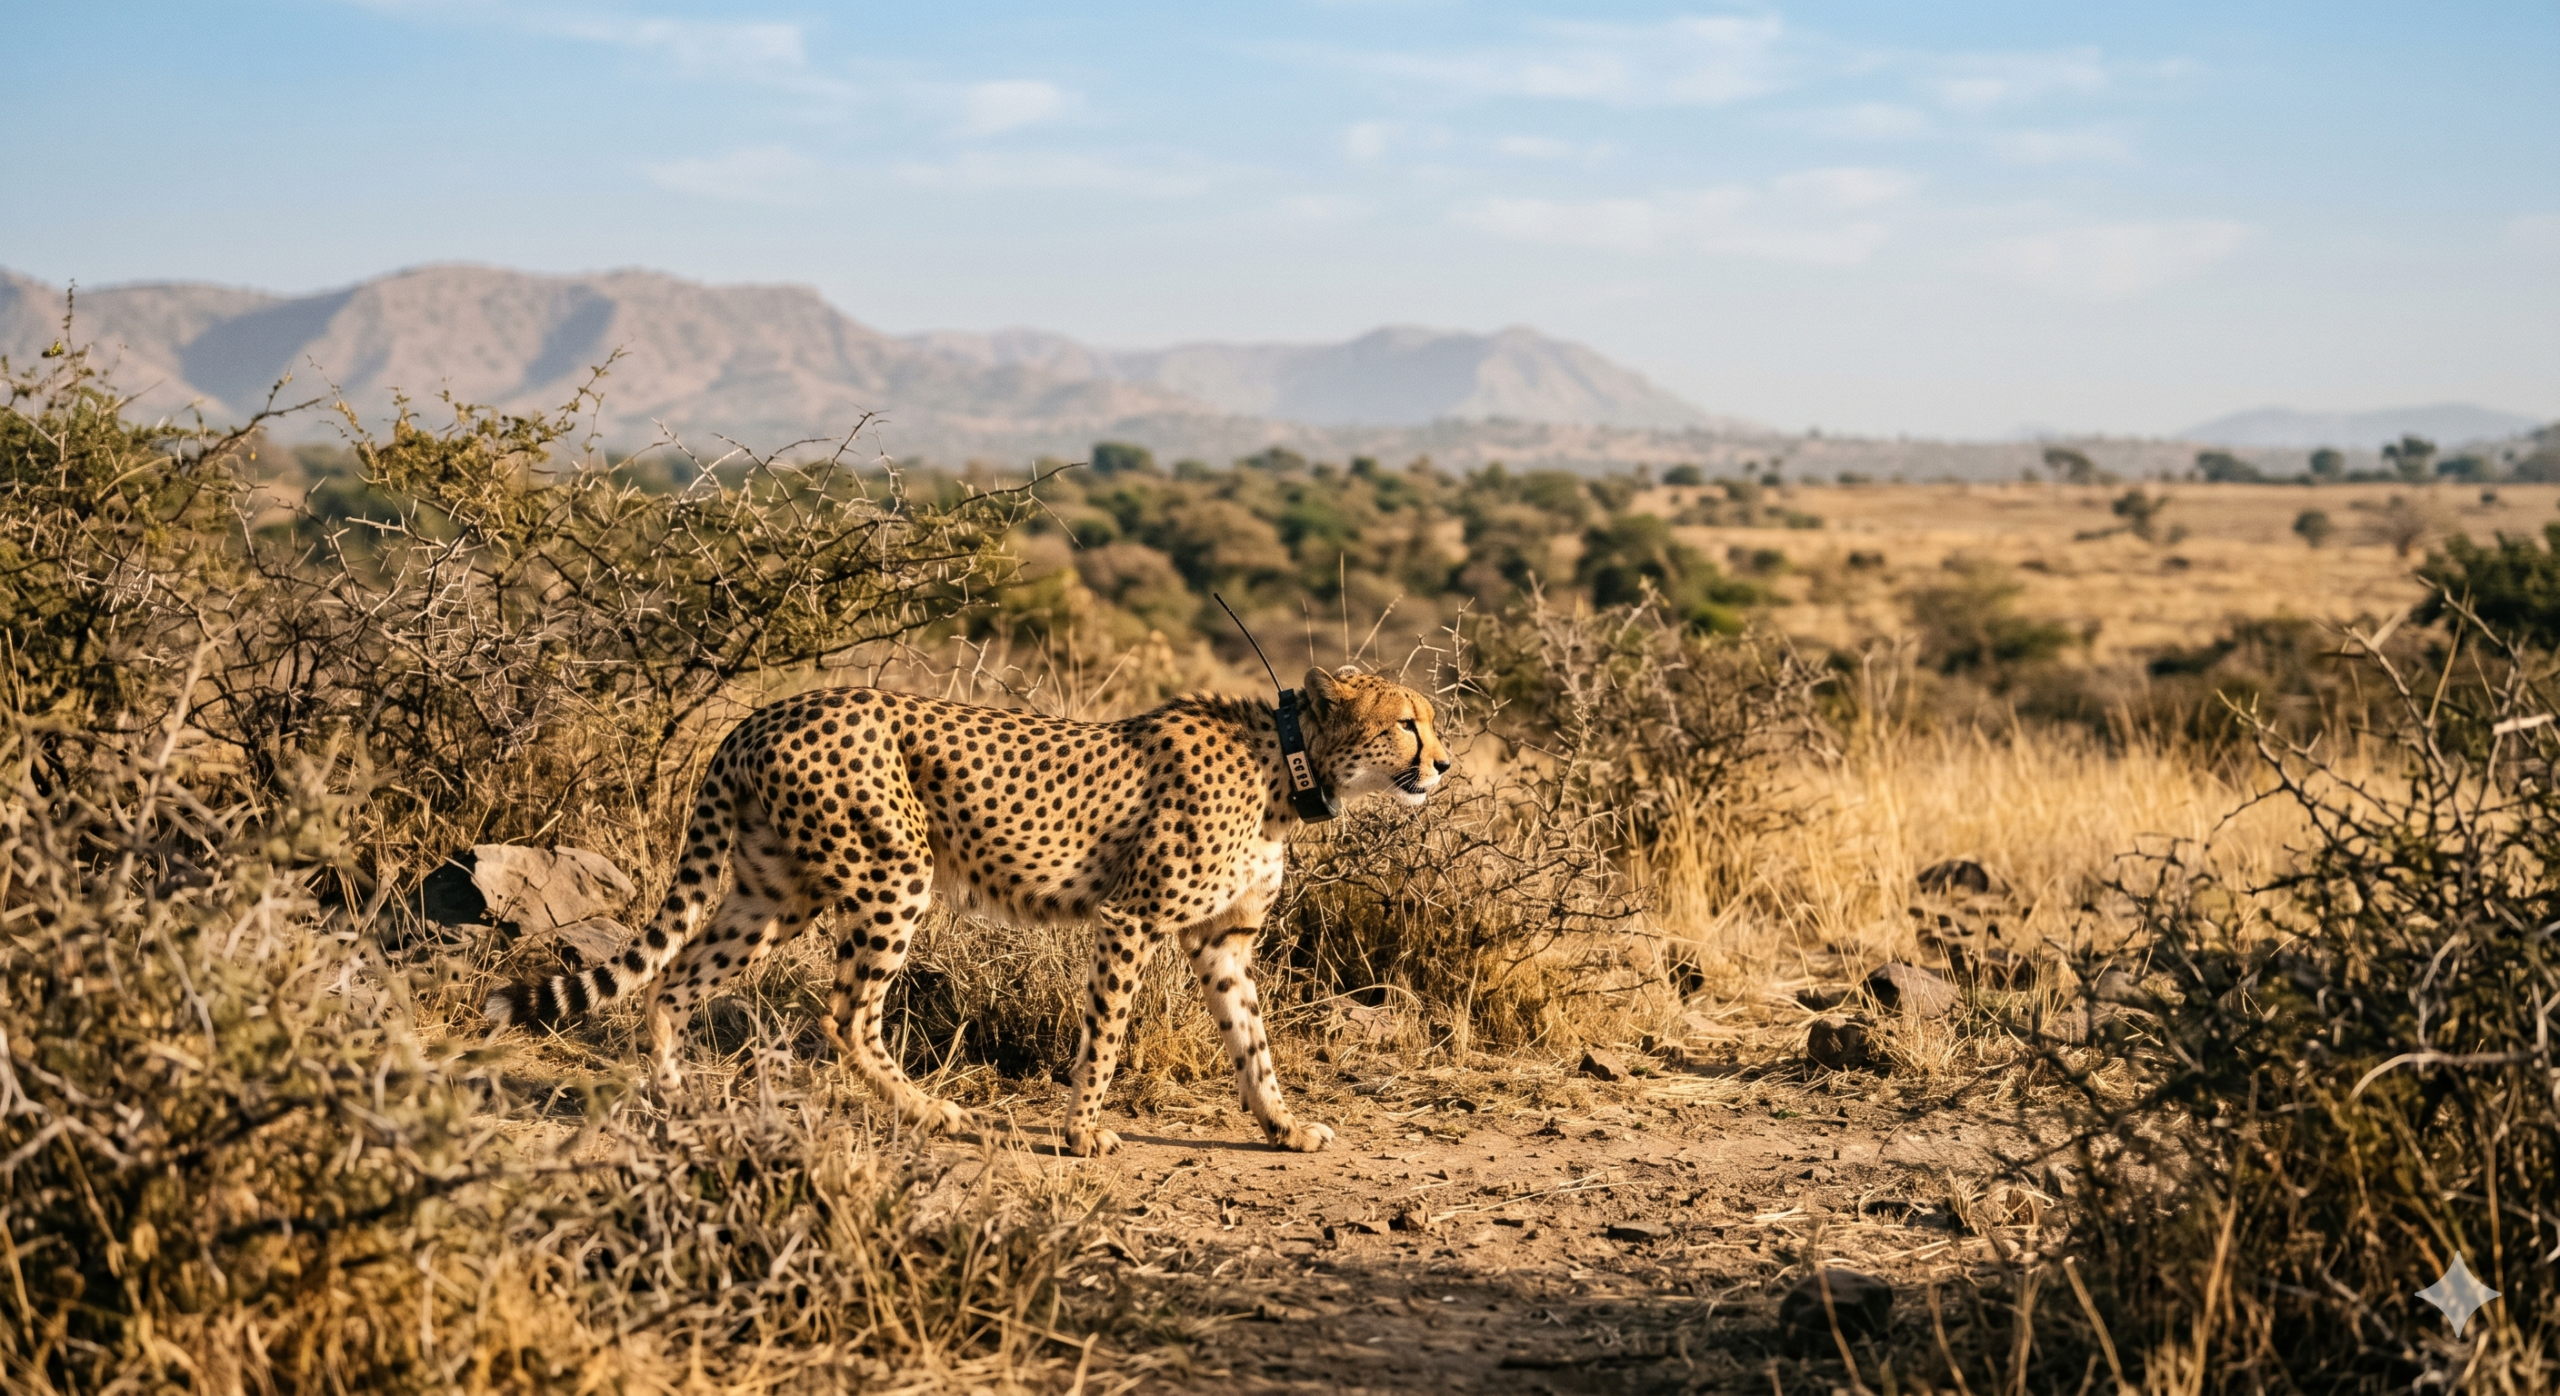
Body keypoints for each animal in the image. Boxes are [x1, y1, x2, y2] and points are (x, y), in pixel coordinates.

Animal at [482, 666, 1451, 1156]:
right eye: (1407, 724)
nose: (1443, 766)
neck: (1289, 762)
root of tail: (765, 712)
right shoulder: (1130, 919)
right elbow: (1105, 1036)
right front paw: (1082, 1132)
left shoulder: (1223, 942)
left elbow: (1254, 1042)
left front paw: (1282, 1125)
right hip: (891, 873)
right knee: (846, 1013)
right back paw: (932, 1114)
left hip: (776, 891)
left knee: (678, 977)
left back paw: (672, 1099)